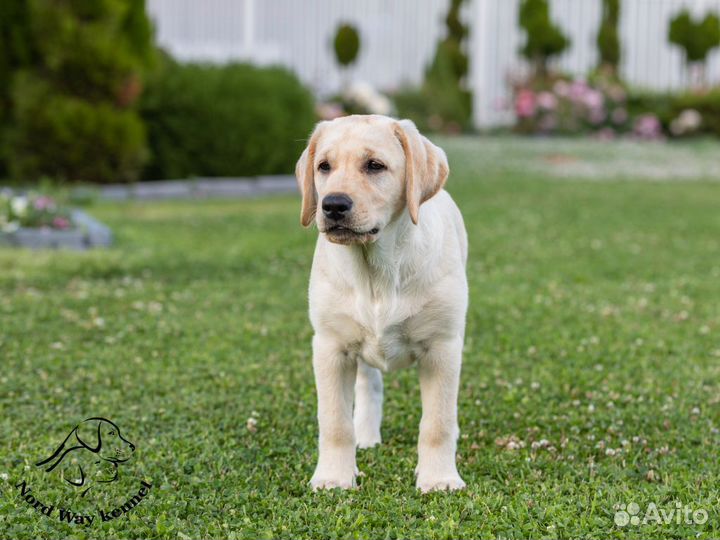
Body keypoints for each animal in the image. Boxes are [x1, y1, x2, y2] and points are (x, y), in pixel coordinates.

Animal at [296, 115, 470, 494]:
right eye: (324, 166)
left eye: (374, 166)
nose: (332, 205)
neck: (377, 271)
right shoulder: (330, 347)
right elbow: (334, 421)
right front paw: (333, 476)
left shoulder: (442, 347)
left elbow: (437, 421)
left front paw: (439, 478)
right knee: (368, 385)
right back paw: (365, 435)